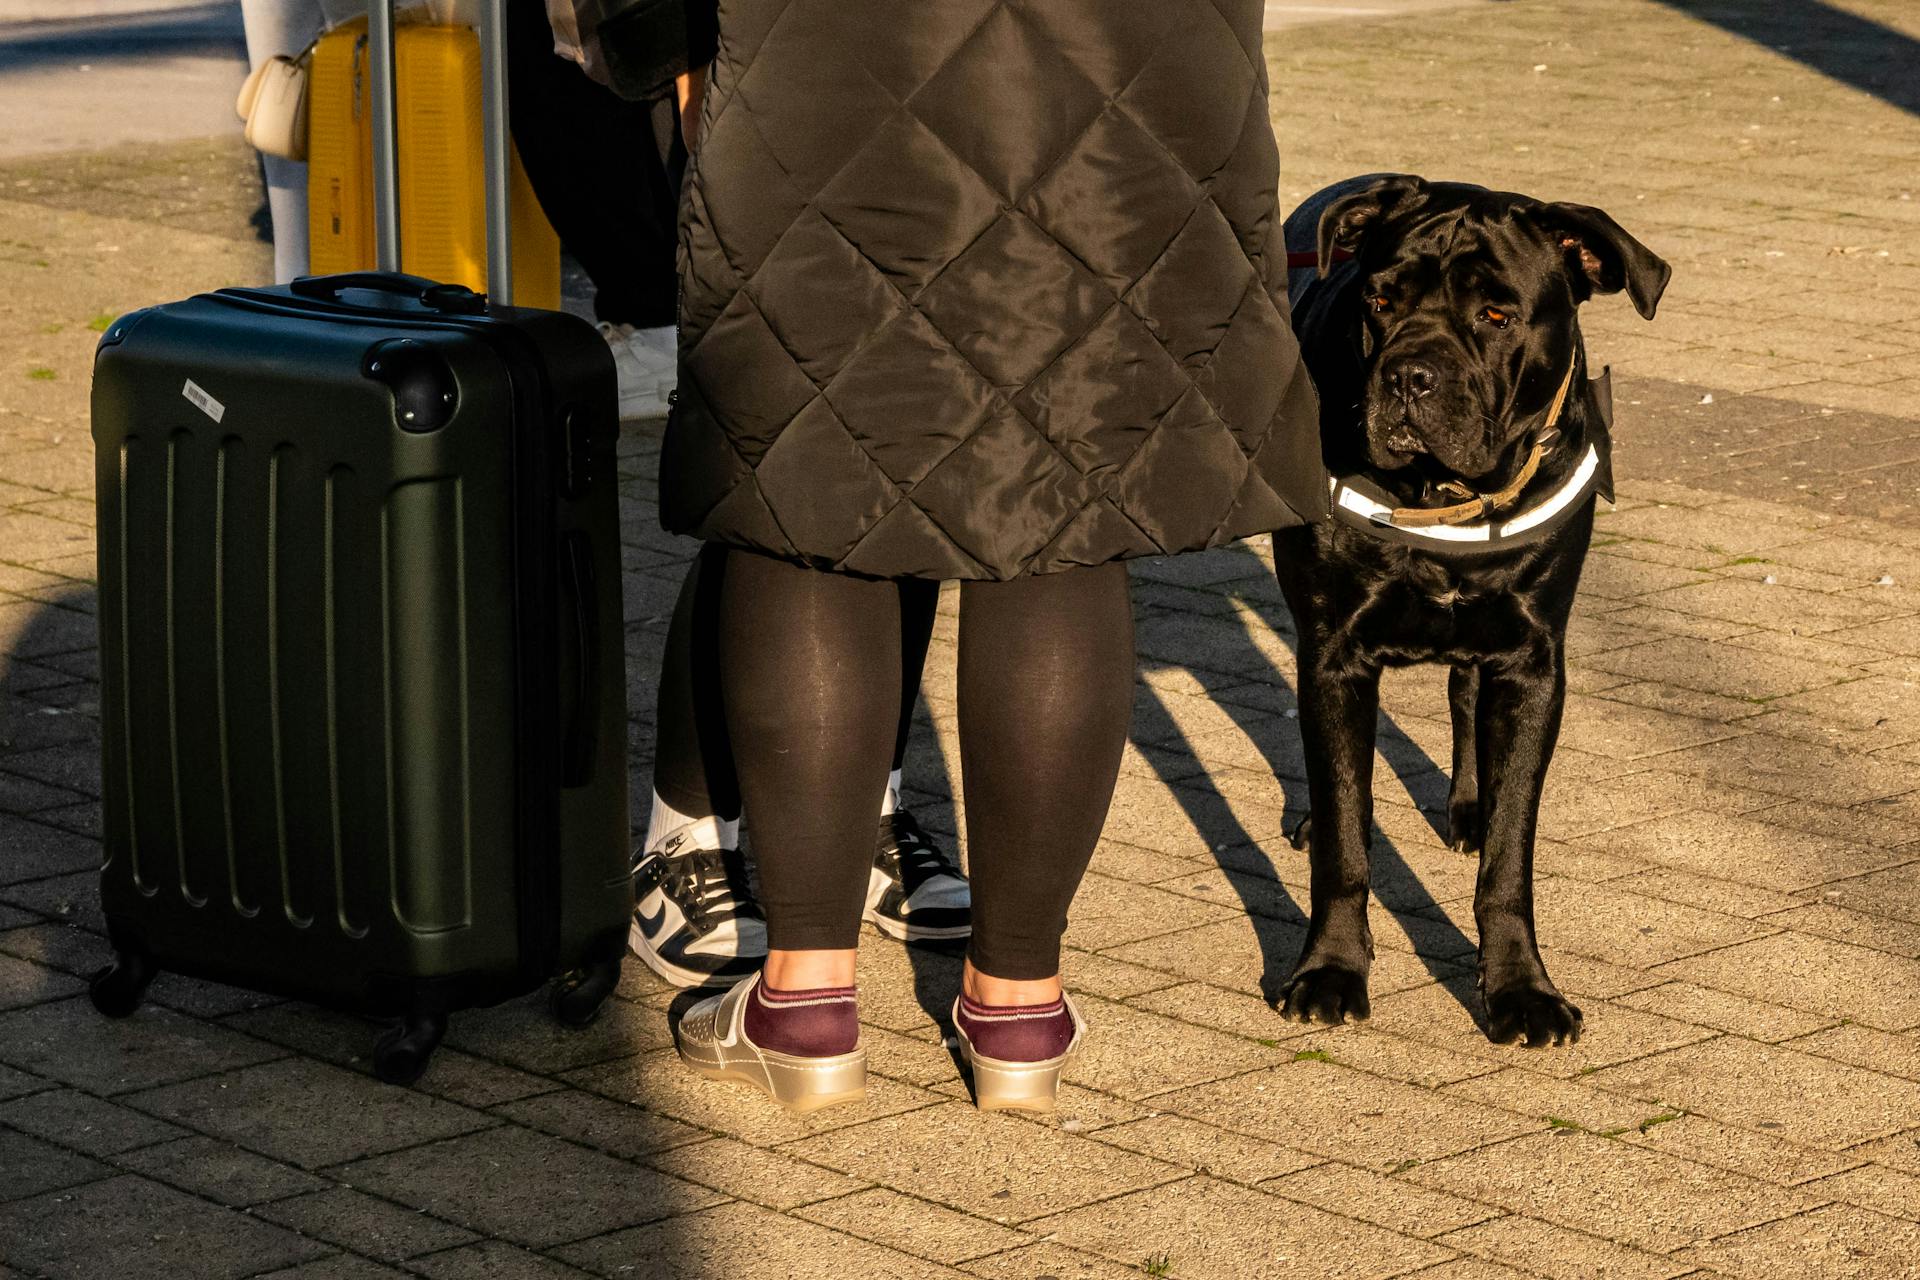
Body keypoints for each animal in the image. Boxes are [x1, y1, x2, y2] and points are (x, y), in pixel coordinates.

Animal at [1274, 175, 1666, 1043]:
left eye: (1495, 315)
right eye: (1380, 301)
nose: (1410, 376)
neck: (1440, 492)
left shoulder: (1532, 663)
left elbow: (1511, 860)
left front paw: (1521, 988)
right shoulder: (1333, 652)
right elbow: (1346, 838)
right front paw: (1330, 971)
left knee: (1461, 693)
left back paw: (1469, 808)